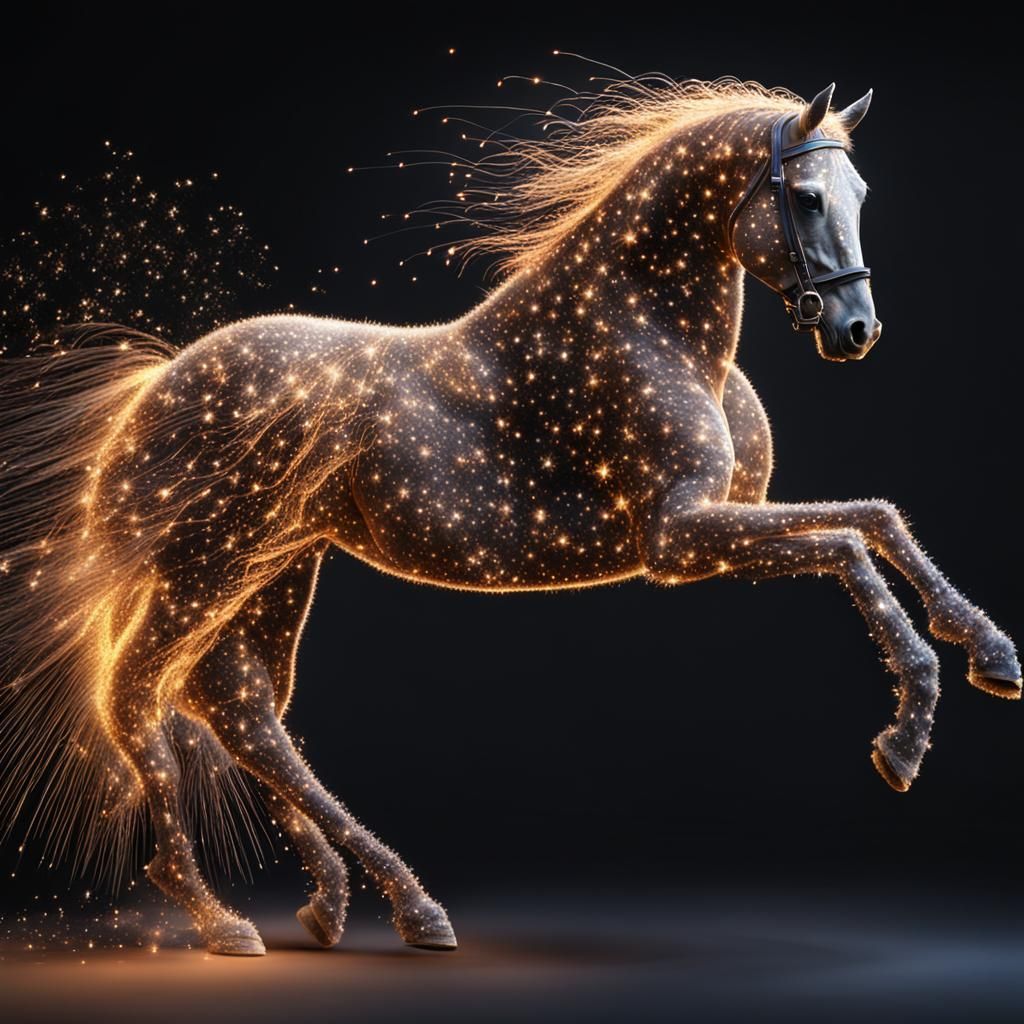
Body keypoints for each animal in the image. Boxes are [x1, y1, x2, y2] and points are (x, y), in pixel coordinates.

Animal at [0, 77, 1019, 958]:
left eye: (861, 192)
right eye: (805, 199)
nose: (856, 331)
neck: (646, 329)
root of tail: (153, 391)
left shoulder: (722, 527)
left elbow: (877, 519)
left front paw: (990, 659)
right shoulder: (680, 538)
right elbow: (851, 542)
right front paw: (906, 738)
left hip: (278, 566)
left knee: (244, 709)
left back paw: (365, 904)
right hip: (204, 563)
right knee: (139, 696)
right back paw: (225, 919)